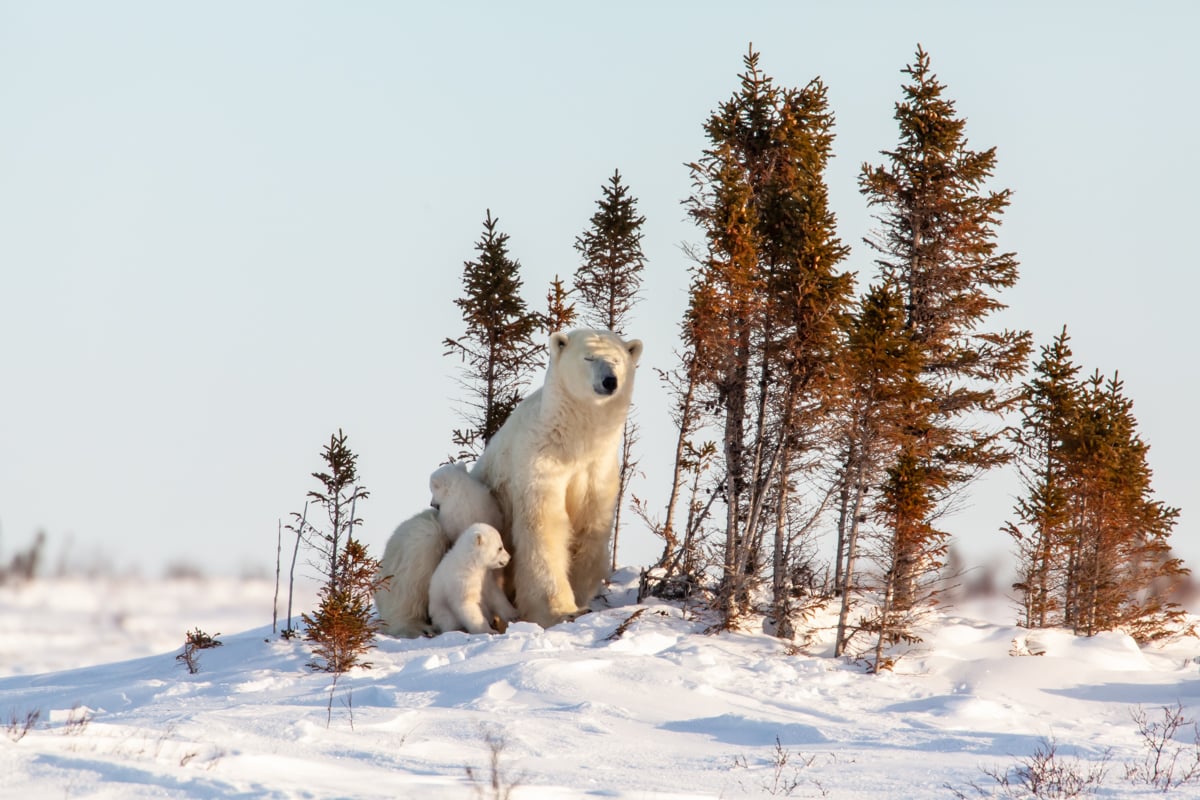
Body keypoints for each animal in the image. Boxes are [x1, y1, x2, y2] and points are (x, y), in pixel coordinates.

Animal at [468, 328, 643, 628]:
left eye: (617, 360)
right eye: (588, 357)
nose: (610, 381)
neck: (573, 441)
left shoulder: (598, 469)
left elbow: (590, 525)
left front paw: (581, 596)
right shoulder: (539, 461)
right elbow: (544, 524)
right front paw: (560, 610)